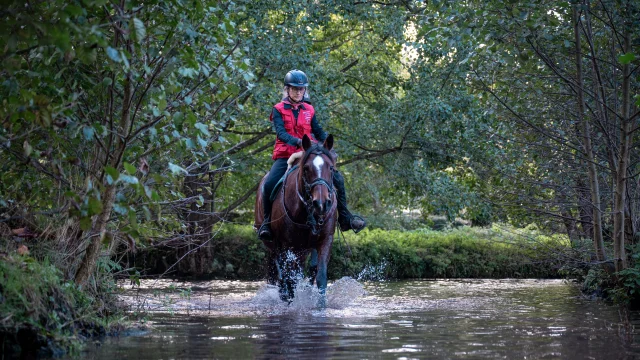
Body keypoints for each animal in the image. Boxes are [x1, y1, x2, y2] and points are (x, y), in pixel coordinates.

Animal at [254, 134, 338, 306]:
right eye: (306, 168)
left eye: (331, 168)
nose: (321, 204)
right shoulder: (286, 245)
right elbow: (288, 278)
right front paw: (290, 301)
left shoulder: (325, 240)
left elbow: (320, 275)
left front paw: (320, 305)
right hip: (277, 246)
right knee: (280, 275)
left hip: (302, 250)